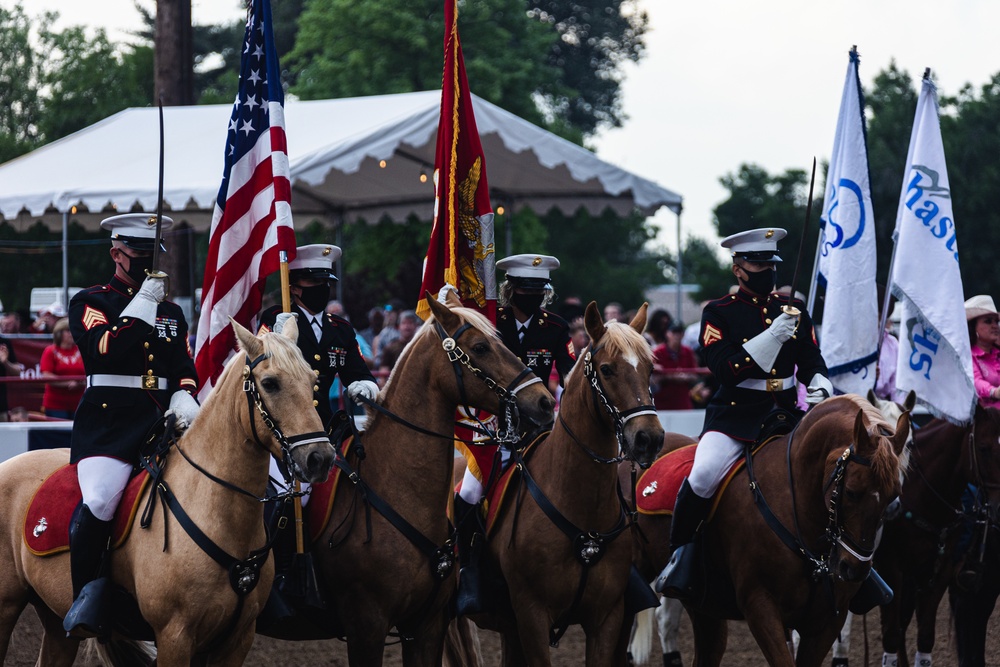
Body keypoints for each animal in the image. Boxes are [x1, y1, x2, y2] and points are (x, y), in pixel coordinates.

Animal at [0, 320, 336, 664]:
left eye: (313, 381)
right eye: (270, 383)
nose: (320, 458)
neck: (216, 512)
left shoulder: (237, 639)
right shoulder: (174, 635)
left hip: (56, 621)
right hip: (7, 607)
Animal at [636, 396, 912, 667]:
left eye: (893, 495)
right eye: (852, 492)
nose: (853, 569)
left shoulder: (829, 619)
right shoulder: (760, 606)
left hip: (705, 608)